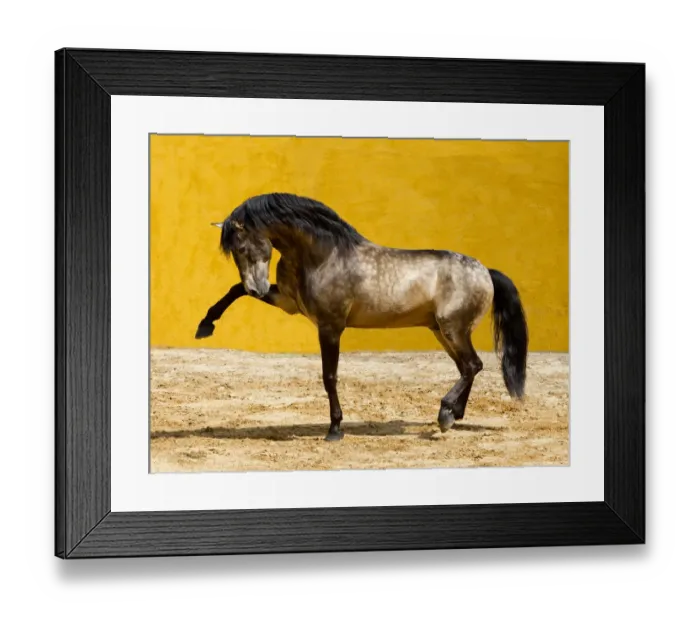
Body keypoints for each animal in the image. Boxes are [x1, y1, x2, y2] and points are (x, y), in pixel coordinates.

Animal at [195, 192, 528, 442]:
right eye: (233, 252)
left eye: (242, 246)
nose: (258, 287)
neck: (322, 255)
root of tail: (486, 271)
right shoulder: (288, 302)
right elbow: (235, 289)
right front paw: (205, 325)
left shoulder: (330, 326)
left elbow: (329, 376)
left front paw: (335, 429)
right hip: (441, 331)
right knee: (466, 368)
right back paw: (453, 416)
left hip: (453, 329)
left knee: (473, 365)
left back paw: (445, 414)